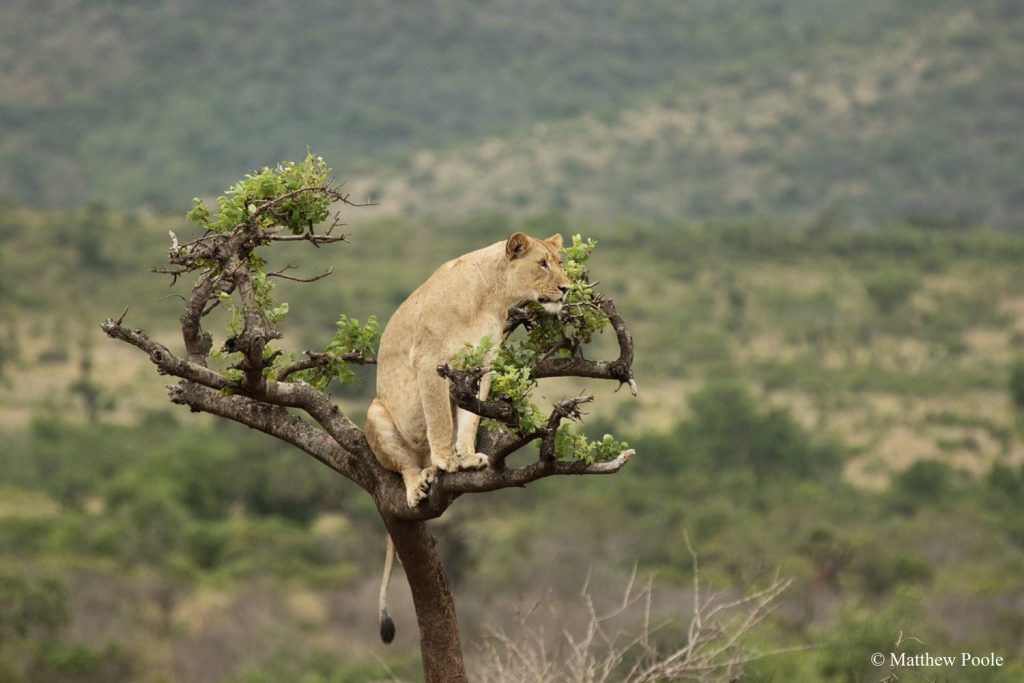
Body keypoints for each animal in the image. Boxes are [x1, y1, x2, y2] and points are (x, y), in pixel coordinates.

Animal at [365, 231, 569, 643]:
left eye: (558, 261)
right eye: (542, 264)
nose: (566, 288)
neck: (494, 295)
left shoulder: (483, 363)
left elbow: (471, 419)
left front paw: (467, 457)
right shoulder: (430, 361)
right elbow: (440, 418)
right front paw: (448, 459)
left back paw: (432, 472)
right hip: (375, 414)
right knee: (406, 465)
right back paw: (422, 480)